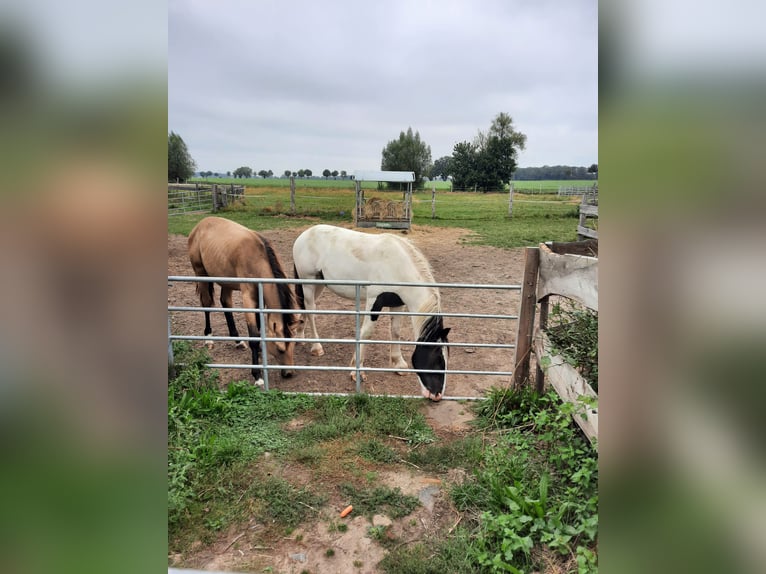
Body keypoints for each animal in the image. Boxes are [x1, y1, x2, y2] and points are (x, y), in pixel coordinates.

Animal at [189, 218, 304, 384]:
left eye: (294, 345)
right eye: (280, 349)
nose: (289, 373)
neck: (257, 259)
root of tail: (200, 225)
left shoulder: (259, 298)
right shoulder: (248, 298)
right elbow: (254, 336)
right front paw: (257, 375)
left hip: (226, 281)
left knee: (225, 303)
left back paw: (237, 341)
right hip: (201, 274)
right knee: (206, 304)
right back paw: (208, 338)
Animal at [292, 225, 450, 400]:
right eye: (437, 359)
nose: (437, 394)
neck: (397, 264)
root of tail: (305, 233)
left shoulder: (397, 303)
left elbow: (396, 331)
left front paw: (399, 364)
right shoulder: (374, 300)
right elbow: (366, 333)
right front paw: (356, 371)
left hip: (319, 284)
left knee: (305, 307)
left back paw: (300, 336)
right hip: (308, 283)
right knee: (310, 310)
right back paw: (316, 347)